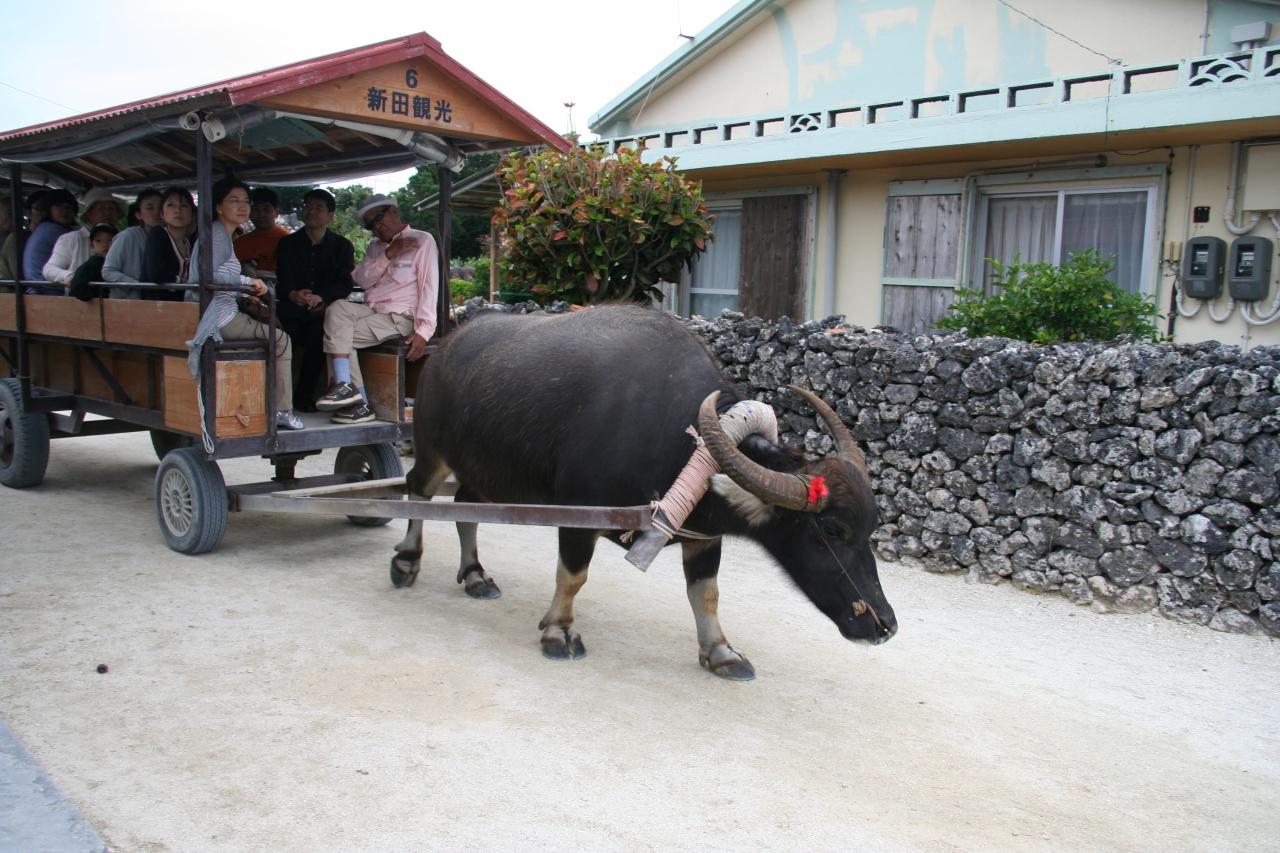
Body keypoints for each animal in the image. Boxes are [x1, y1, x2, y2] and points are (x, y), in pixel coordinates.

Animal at [391, 304, 897, 680]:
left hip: (483, 472)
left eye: (870, 530)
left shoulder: (703, 537)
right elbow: (572, 577)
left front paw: (721, 652)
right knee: (419, 493)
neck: (680, 443)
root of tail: (444, 349)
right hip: (432, 449)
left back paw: (476, 576)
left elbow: (706, 594)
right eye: (831, 531)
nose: (884, 625)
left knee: (464, 508)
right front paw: (559, 633)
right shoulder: (579, 517)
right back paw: (406, 562)